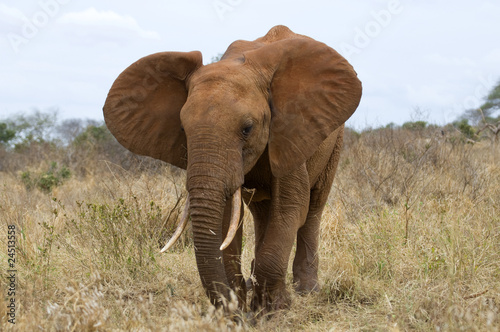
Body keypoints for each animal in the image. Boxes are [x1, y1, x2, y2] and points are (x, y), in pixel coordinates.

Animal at [103, 24, 362, 312]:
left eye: (247, 128)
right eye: (182, 129)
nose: (233, 313)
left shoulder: (289, 134)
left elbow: (292, 206)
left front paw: (272, 310)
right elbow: (228, 218)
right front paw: (242, 306)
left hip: (334, 141)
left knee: (314, 206)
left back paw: (306, 290)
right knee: (262, 212)